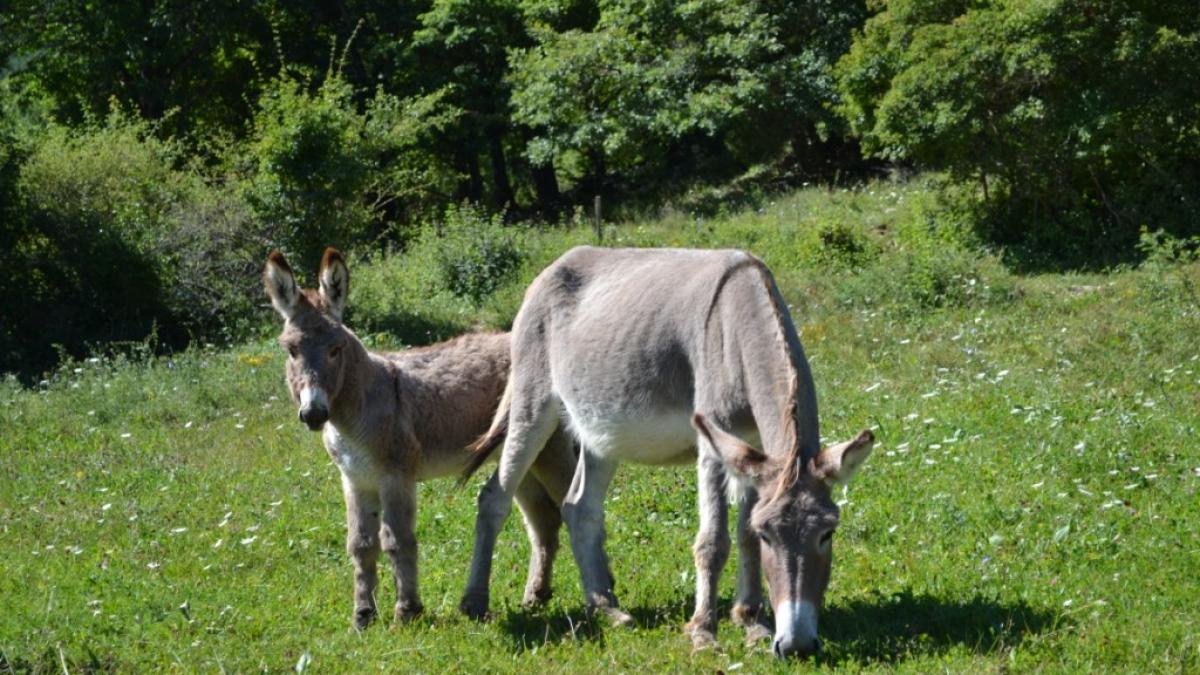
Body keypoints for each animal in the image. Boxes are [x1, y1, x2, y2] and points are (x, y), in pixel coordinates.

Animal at [265, 249, 573, 629]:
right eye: (291, 351)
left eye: (336, 349)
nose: (312, 414)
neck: (360, 405)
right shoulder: (355, 479)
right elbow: (361, 544)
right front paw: (363, 616)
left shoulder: (396, 476)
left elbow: (397, 540)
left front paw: (407, 611)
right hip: (523, 456)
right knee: (544, 520)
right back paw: (535, 597)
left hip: (551, 449)